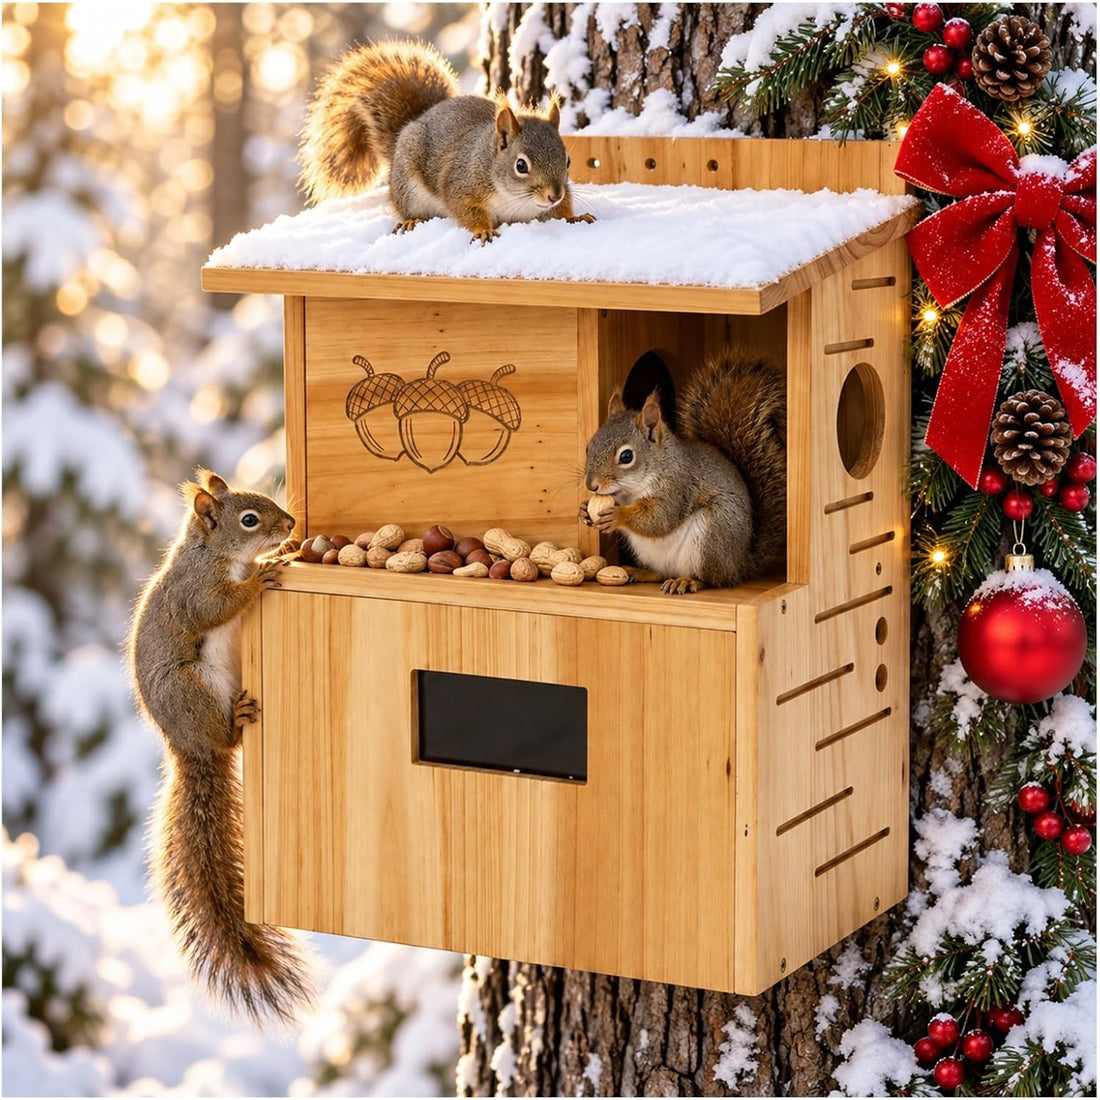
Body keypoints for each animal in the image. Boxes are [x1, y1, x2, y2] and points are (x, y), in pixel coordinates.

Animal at [127, 470, 313, 1025]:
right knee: (224, 731)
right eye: (249, 519)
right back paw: (238, 721)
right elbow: (218, 605)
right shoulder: (195, 591)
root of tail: (190, 749)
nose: (291, 525)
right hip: (194, 689)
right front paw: (264, 572)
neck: (214, 552)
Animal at [299, 38, 594, 243]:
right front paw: (484, 231)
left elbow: (561, 212)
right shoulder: (461, 186)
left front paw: (574, 216)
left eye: (568, 161)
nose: (554, 194)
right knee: (406, 208)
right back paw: (411, 222)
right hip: (408, 188)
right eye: (521, 165)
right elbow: (465, 210)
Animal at [581, 349, 787, 595]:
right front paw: (584, 511)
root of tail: (738, 565)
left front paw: (618, 515)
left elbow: (660, 517)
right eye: (589, 447)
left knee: (712, 579)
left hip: (712, 536)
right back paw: (641, 572)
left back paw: (689, 581)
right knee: (662, 573)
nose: (591, 485)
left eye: (626, 457)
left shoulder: (677, 486)